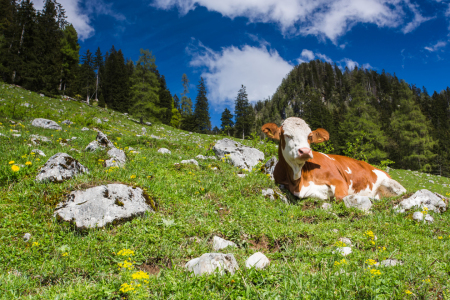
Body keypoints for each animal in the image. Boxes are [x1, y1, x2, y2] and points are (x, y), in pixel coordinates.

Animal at [262, 118, 406, 200]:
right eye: (286, 135)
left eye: (309, 136)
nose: (305, 151)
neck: (299, 180)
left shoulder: (338, 179)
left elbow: (341, 197)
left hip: (391, 184)